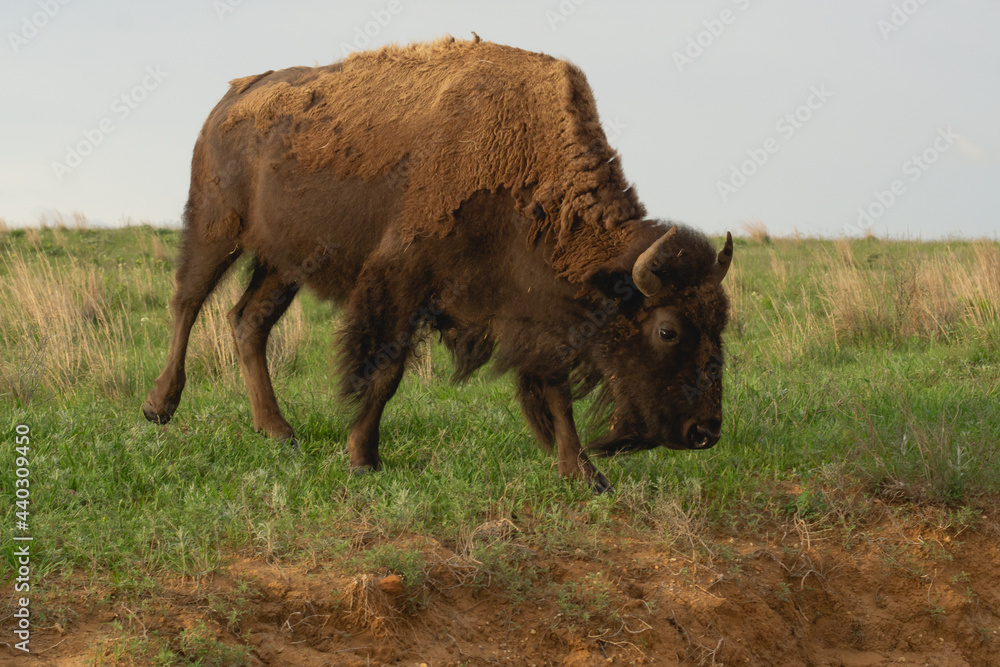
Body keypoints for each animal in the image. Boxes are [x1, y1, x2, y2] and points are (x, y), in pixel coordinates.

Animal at [143, 36, 733, 492]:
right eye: (667, 330)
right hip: (215, 229)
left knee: (249, 322)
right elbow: (385, 374)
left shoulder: (538, 318)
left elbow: (555, 392)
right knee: (187, 303)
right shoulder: (402, 283)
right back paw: (159, 406)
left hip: (281, 263)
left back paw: (278, 430)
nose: (705, 432)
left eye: (720, 324)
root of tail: (230, 98)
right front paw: (363, 459)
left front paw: (585, 475)